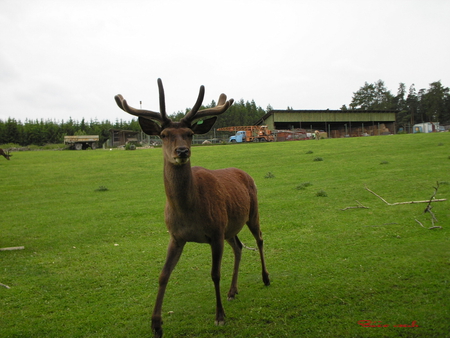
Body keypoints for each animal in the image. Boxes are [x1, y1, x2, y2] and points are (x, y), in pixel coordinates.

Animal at [116, 78, 270, 338]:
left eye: (189, 134)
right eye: (164, 134)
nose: (182, 151)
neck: (188, 210)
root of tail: (245, 173)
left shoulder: (215, 232)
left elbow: (215, 274)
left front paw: (219, 316)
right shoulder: (176, 236)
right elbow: (163, 275)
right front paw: (156, 324)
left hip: (252, 211)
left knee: (259, 238)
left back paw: (265, 278)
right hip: (230, 226)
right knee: (239, 247)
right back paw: (233, 291)